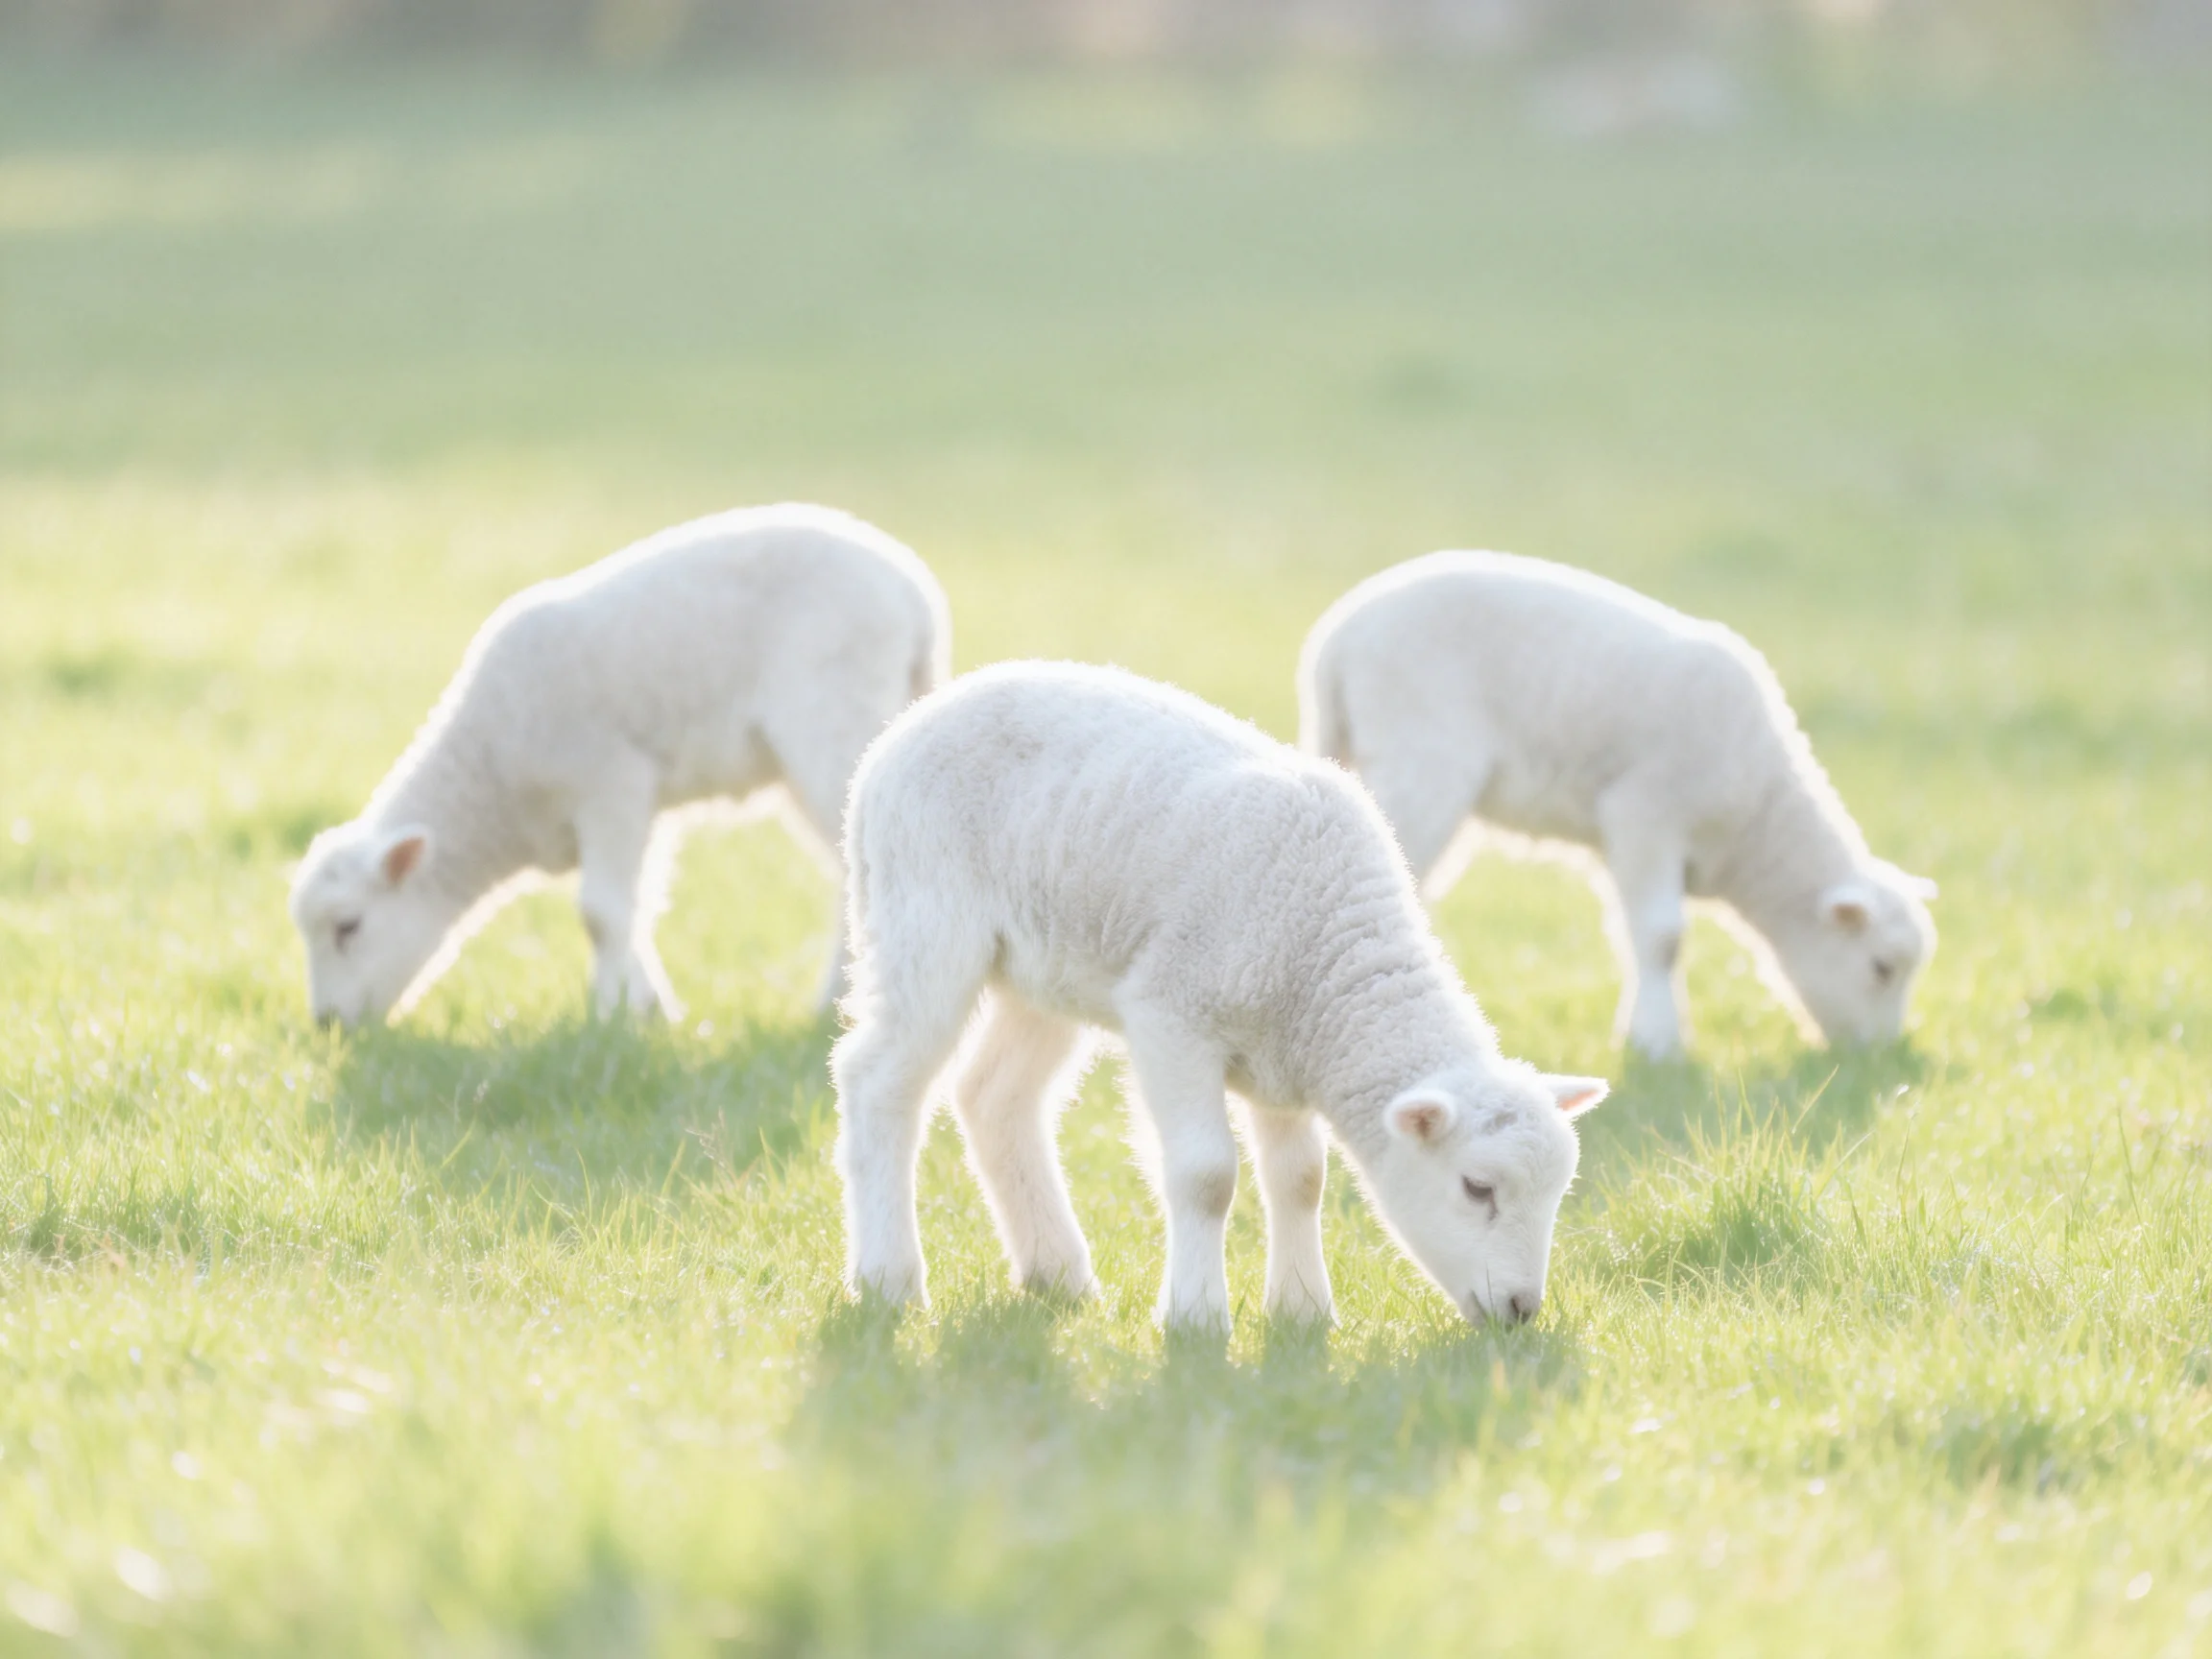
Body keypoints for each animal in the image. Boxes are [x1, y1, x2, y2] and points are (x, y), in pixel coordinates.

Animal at [289, 504, 949, 1029]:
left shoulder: (611, 781)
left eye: (347, 927)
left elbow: (601, 913)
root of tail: (913, 594)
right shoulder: (638, 807)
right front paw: (650, 1007)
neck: (492, 782)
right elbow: (633, 908)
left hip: (833, 720)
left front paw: (613, 1017)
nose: (327, 1024)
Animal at [830, 661, 1607, 1332]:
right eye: (1478, 1187)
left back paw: (1058, 1273)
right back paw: (890, 1278)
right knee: (878, 1082)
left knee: (995, 1098)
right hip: (925, 918)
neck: (1327, 962)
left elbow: (1301, 1179)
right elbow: (1206, 1176)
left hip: (1045, 968)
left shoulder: (1283, 1057)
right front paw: (1197, 1319)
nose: (1521, 1310)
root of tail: (899, 734)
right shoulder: (1172, 1015)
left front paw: (1302, 1312)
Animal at [1299, 551, 1937, 1059]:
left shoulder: (1621, 842)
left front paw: (1639, 1031)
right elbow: (1662, 936)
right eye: (1882, 968)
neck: (1758, 826)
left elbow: (1629, 933)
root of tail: (1337, 639)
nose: (1881, 1057)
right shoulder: (1647, 812)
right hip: (1424, 760)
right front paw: (1661, 1045)